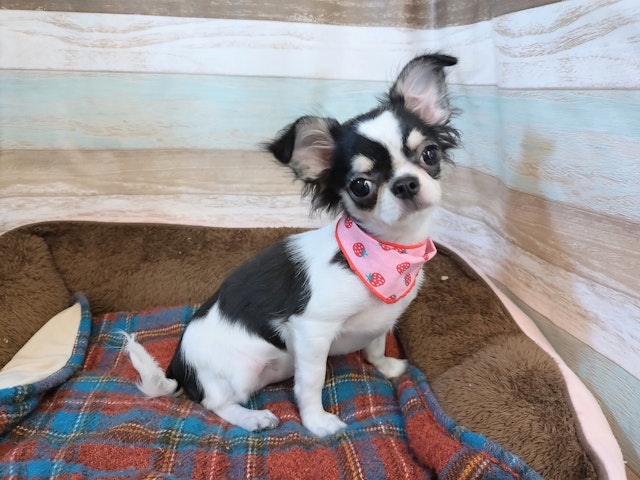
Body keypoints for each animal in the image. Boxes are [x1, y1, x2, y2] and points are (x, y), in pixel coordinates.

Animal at [123, 54, 460, 437]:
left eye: (430, 154)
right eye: (360, 186)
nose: (405, 184)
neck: (389, 252)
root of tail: (179, 368)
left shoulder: (382, 318)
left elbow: (374, 345)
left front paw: (386, 366)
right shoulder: (313, 332)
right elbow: (311, 383)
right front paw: (317, 422)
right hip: (242, 370)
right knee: (215, 403)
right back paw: (253, 417)